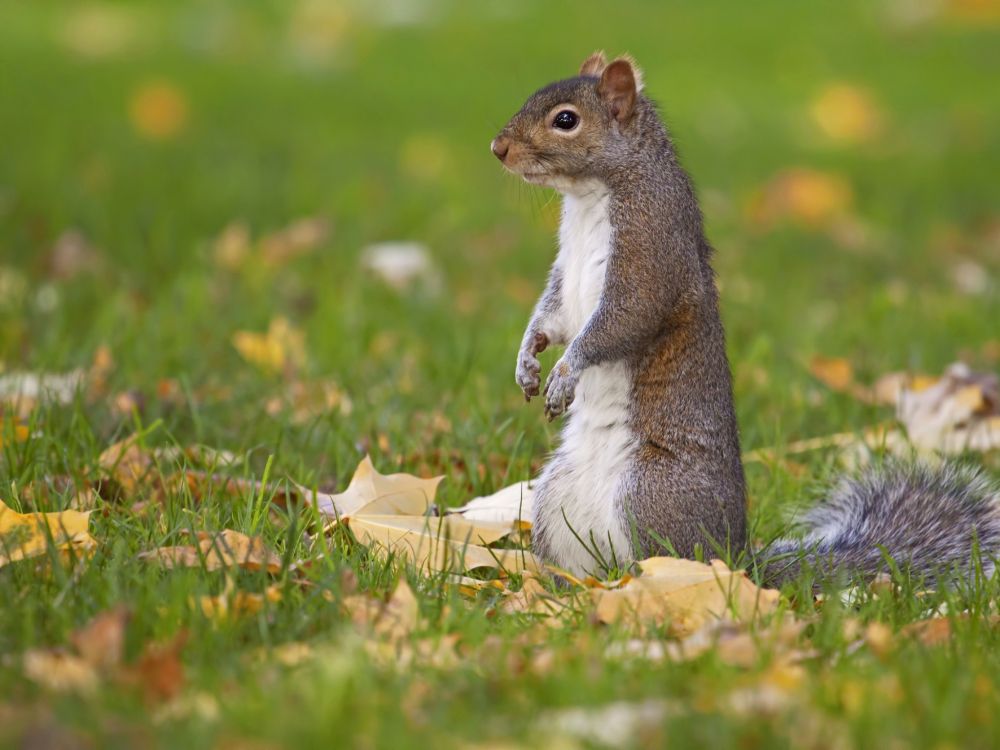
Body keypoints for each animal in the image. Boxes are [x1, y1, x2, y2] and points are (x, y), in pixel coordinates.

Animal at [492, 51, 1000, 588]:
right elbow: (553, 317)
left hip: (649, 493)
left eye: (566, 120)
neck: (591, 197)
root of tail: (737, 559)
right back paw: (561, 588)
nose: (498, 148)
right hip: (555, 497)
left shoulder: (650, 254)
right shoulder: (566, 275)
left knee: (662, 559)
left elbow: (620, 322)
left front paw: (565, 373)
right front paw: (527, 360)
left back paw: (643, 584)